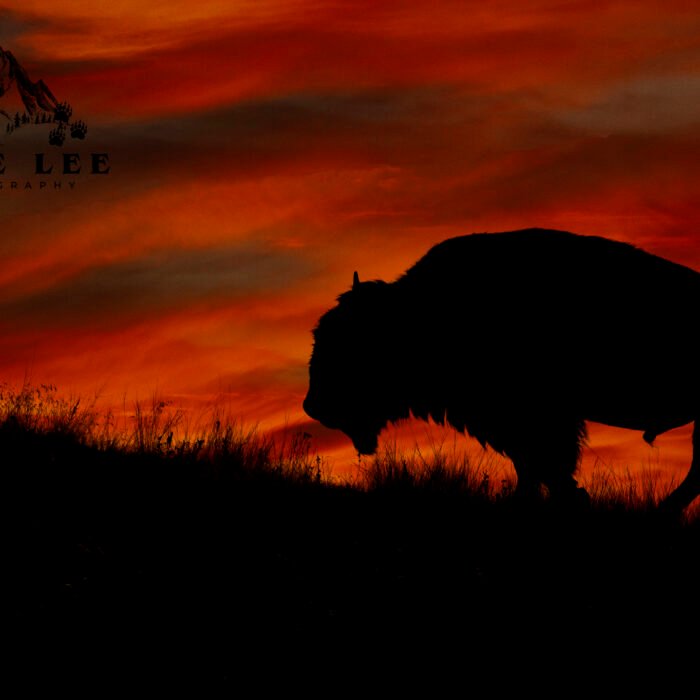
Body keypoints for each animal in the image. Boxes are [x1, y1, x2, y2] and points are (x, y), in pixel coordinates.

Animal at [304, 229, 700, 511]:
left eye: (347, 342)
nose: (312, 405)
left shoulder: (541, 420)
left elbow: (547, 464)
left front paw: (570, 498)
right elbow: (534, 467)